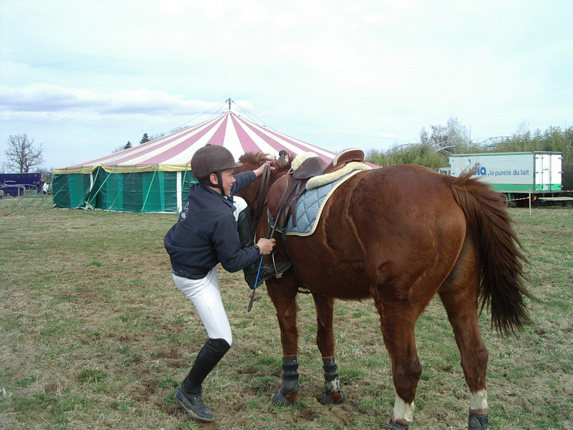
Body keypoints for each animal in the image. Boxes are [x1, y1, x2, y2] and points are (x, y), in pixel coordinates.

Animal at [235, 153, 528, 428]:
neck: (267, 189)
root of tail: (449, 183)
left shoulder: (280, 285)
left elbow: (289, 336)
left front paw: (288, 391)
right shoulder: (323, 289)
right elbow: (325, 339)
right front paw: (332, 390)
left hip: (396, 305)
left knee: (408, 368)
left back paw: (398, 420)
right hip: (460, 293)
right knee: (475, 356)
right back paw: (478, 415)